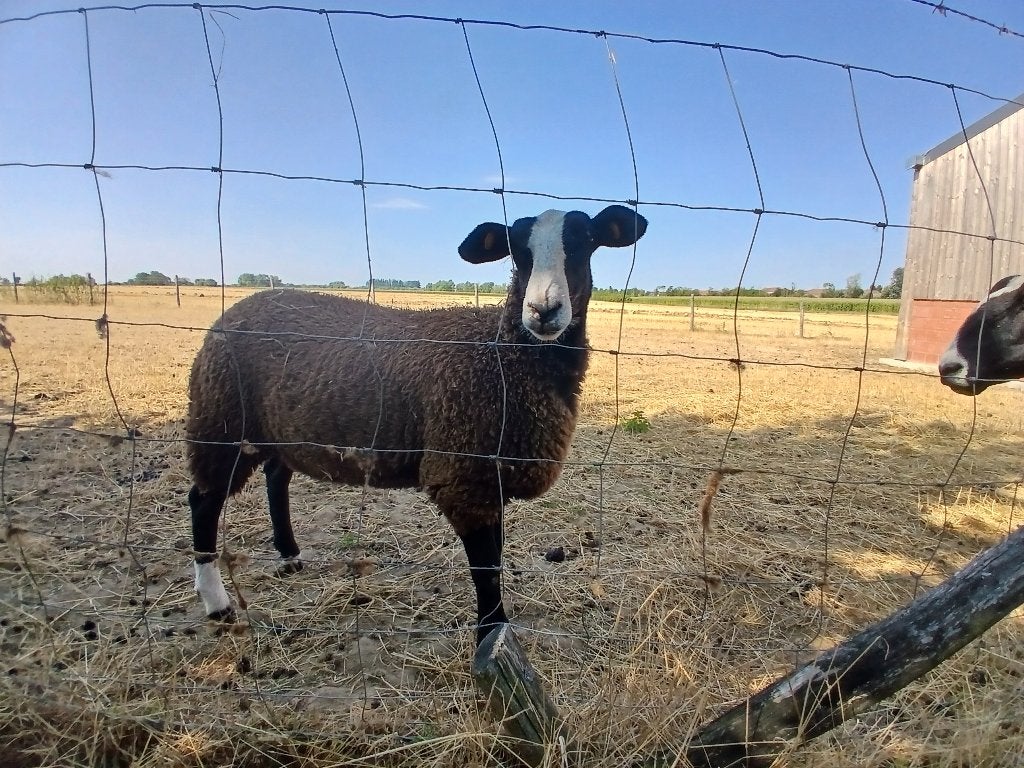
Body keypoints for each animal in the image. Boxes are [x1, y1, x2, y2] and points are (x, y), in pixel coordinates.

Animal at [187, 204, 648, 645]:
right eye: (517, 250)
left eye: (587, 242)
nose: (543, 310)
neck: (505, 358)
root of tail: (234, 310)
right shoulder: (464, 478)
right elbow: (486, 570)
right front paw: (491, 636)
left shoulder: (489, 478)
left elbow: (495, 561)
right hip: (221, 422)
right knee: (204, 500)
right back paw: (217, 603)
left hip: (279, 430)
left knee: (275, 477)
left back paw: (290, 555)